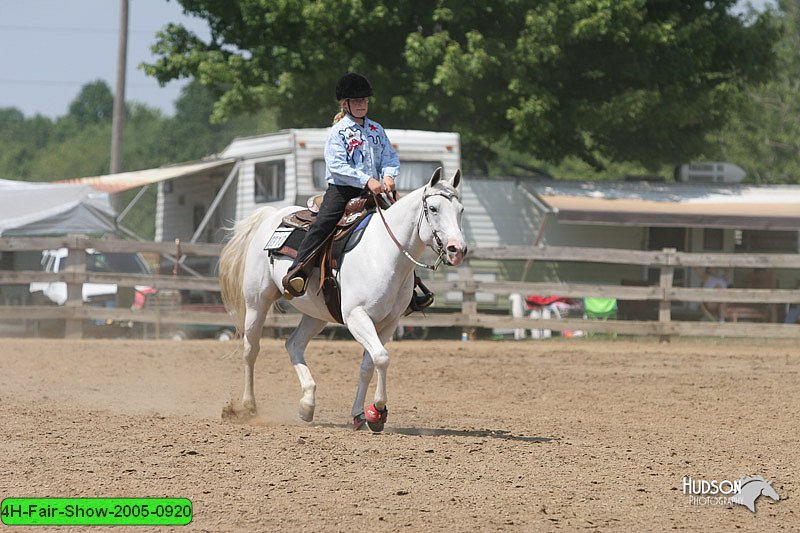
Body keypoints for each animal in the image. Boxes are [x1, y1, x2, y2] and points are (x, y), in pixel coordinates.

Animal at [219, 168, 468, 430]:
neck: (383, 253)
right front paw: (378, 409)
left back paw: (307, 404)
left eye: (461, 209)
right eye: (433, 208)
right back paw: (249, 405)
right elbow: (382, 358)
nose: (457, 250)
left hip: (316, 314)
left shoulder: (389, 323)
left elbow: (369, 364)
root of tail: (271, 215)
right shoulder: (356, 317)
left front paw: (362, 414)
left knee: (294, 344)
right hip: (257, 301)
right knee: (251, 348)